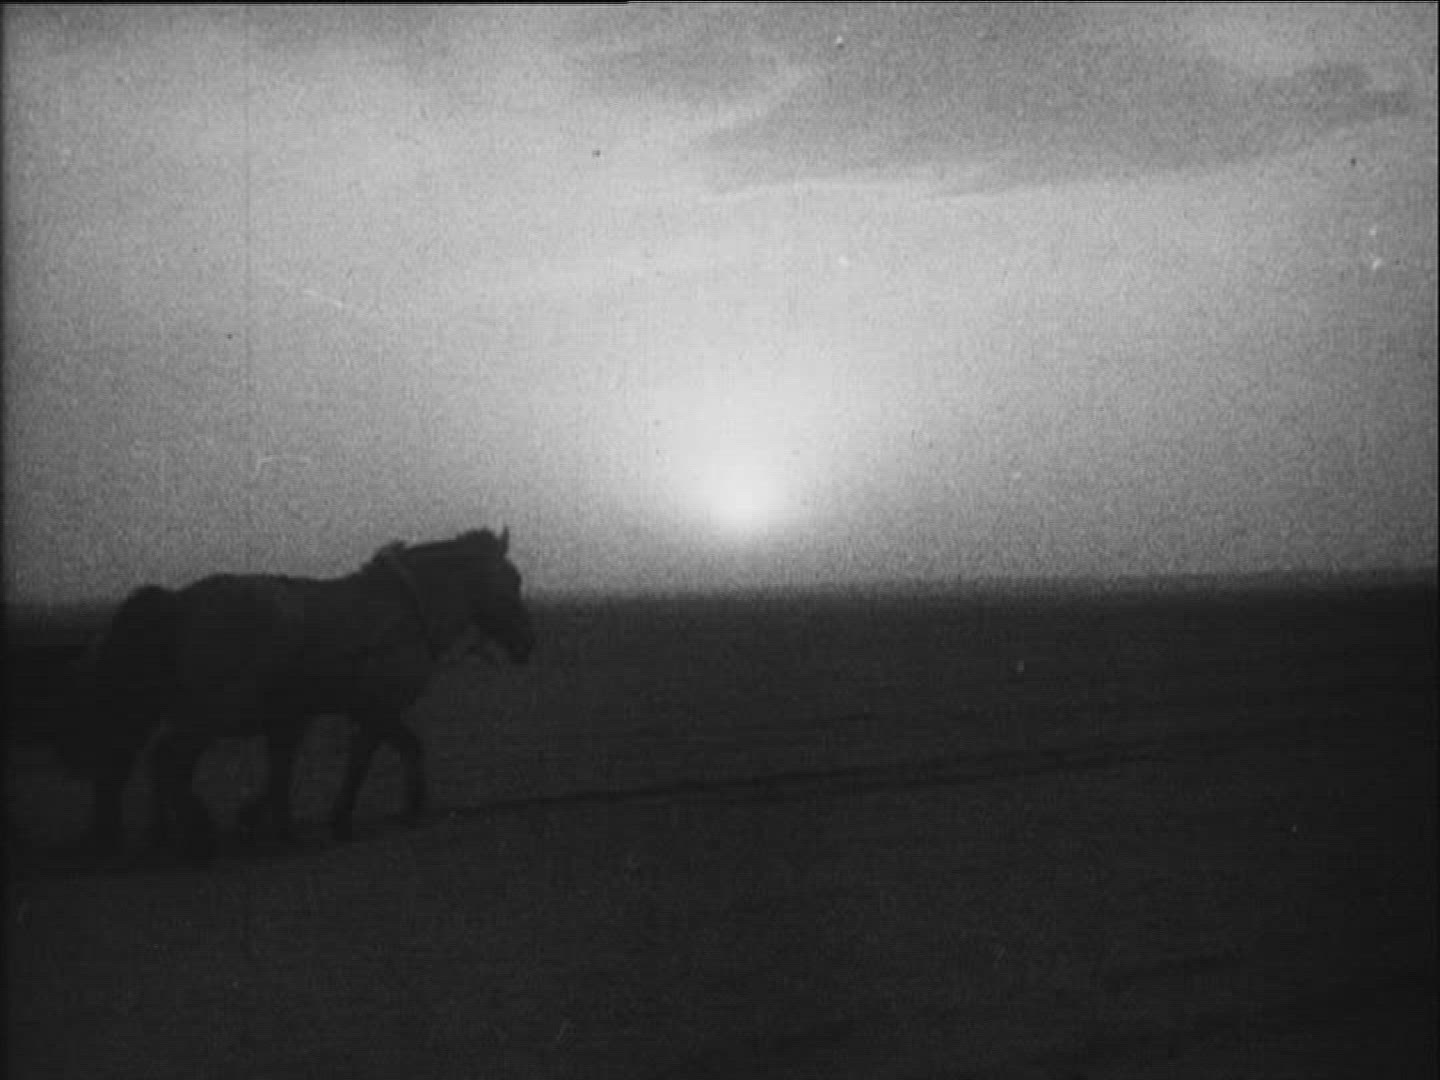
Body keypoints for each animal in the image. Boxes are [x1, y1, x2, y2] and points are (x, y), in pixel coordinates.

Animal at [94, 528, 533, 862]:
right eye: (512, 580)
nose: (526, 644)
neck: (405, 612)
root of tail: (180, 602)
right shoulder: (377, 710)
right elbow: (367, 760)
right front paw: (345, 819)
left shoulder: (349, 714)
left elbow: (395, 749)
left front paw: (264, 818)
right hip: (212, 715)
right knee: (170, 759)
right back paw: (197, 836)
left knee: (162, 759)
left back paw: (165, 835)